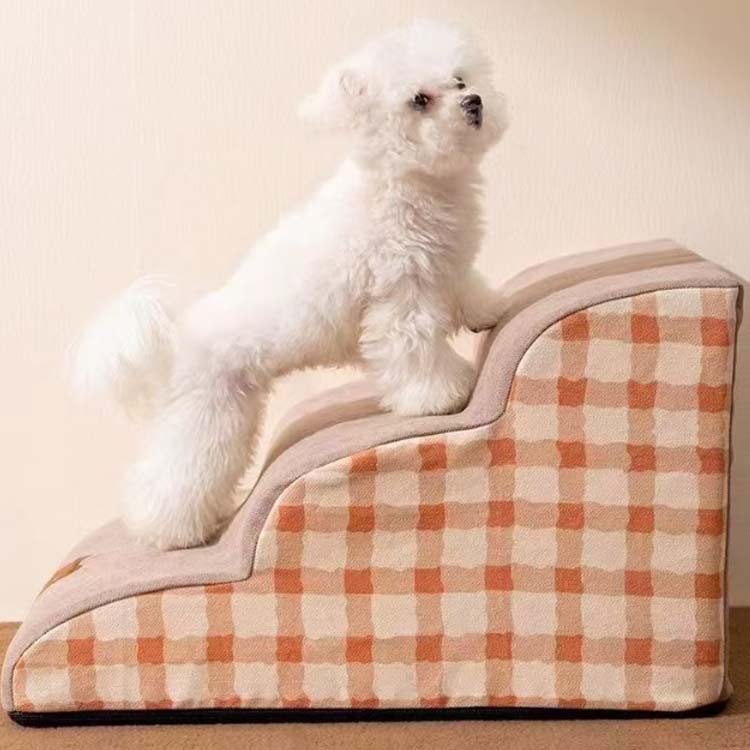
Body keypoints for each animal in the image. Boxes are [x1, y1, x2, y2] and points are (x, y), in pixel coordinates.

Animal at [73, 20, 509, 549]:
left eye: (461, 80)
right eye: (419, 100)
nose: (475, 102)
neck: (403, 183)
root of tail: (178, 338)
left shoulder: (444, 268)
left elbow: (469, 290)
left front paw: (489, 310)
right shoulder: (401, 297)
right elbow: (415, 349)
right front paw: (438, 398)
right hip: (207, 414)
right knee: (171, 476)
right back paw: (167, 533)